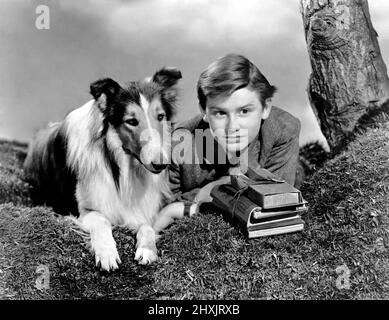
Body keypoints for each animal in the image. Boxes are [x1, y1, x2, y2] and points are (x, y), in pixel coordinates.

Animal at [23, 67, 181, 270]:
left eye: (160, 117)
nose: (161, 164)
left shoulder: (140, 212)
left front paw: (147, 249)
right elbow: (102, 220)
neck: (121, 168)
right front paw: (107, 253)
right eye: (131, 121)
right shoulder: (83, 211)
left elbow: (147, 227)